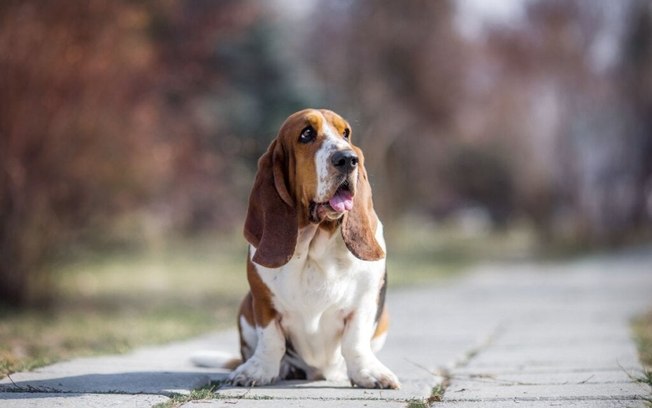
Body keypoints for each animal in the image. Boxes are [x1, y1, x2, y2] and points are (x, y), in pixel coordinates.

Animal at [216, 108, 398, 388]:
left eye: (346, 133)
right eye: (306, 134)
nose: (348, 159)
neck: (314, 245)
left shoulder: (364, 302)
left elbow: (355, 342)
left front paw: (369, 373)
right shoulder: (263, 302)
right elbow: (271, 340)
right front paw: (257, 371)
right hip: (245, 307)